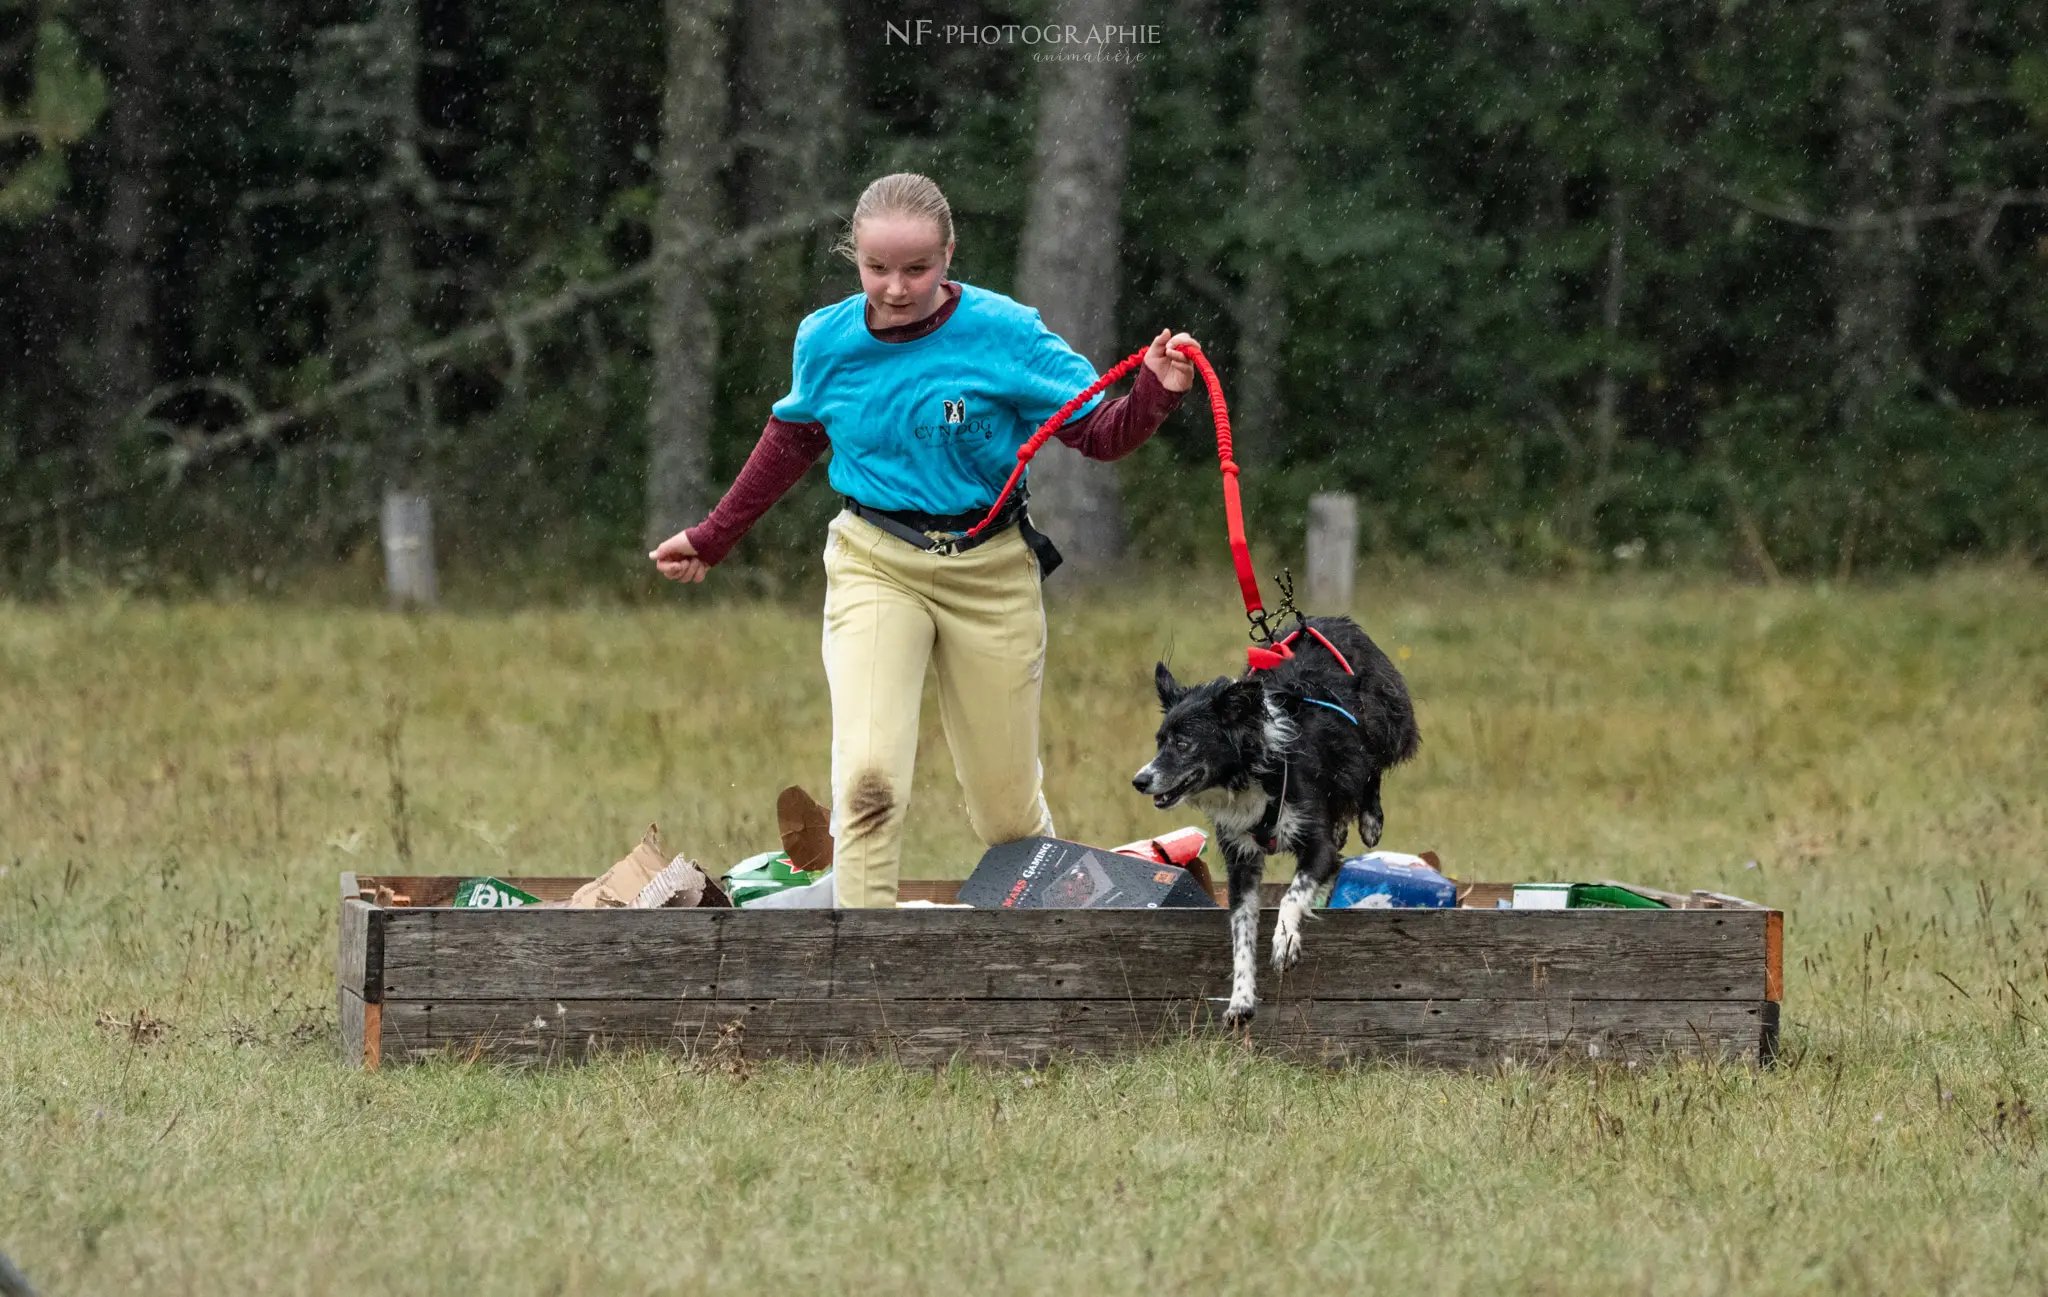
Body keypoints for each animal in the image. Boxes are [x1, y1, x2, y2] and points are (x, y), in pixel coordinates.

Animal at [1130, 610, 1417, 1028]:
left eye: (1184, 744)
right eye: (1159, 741)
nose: (1139, 780)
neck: (1254, 771)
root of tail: (1328, 619)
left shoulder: (1315, 844)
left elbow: (1292, 894)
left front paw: (1285, 942)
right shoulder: (1241, 860)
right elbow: (1242, 932)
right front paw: (1241, 998)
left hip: (1381, 718)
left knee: (1369, 767)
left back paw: (1369, 820)